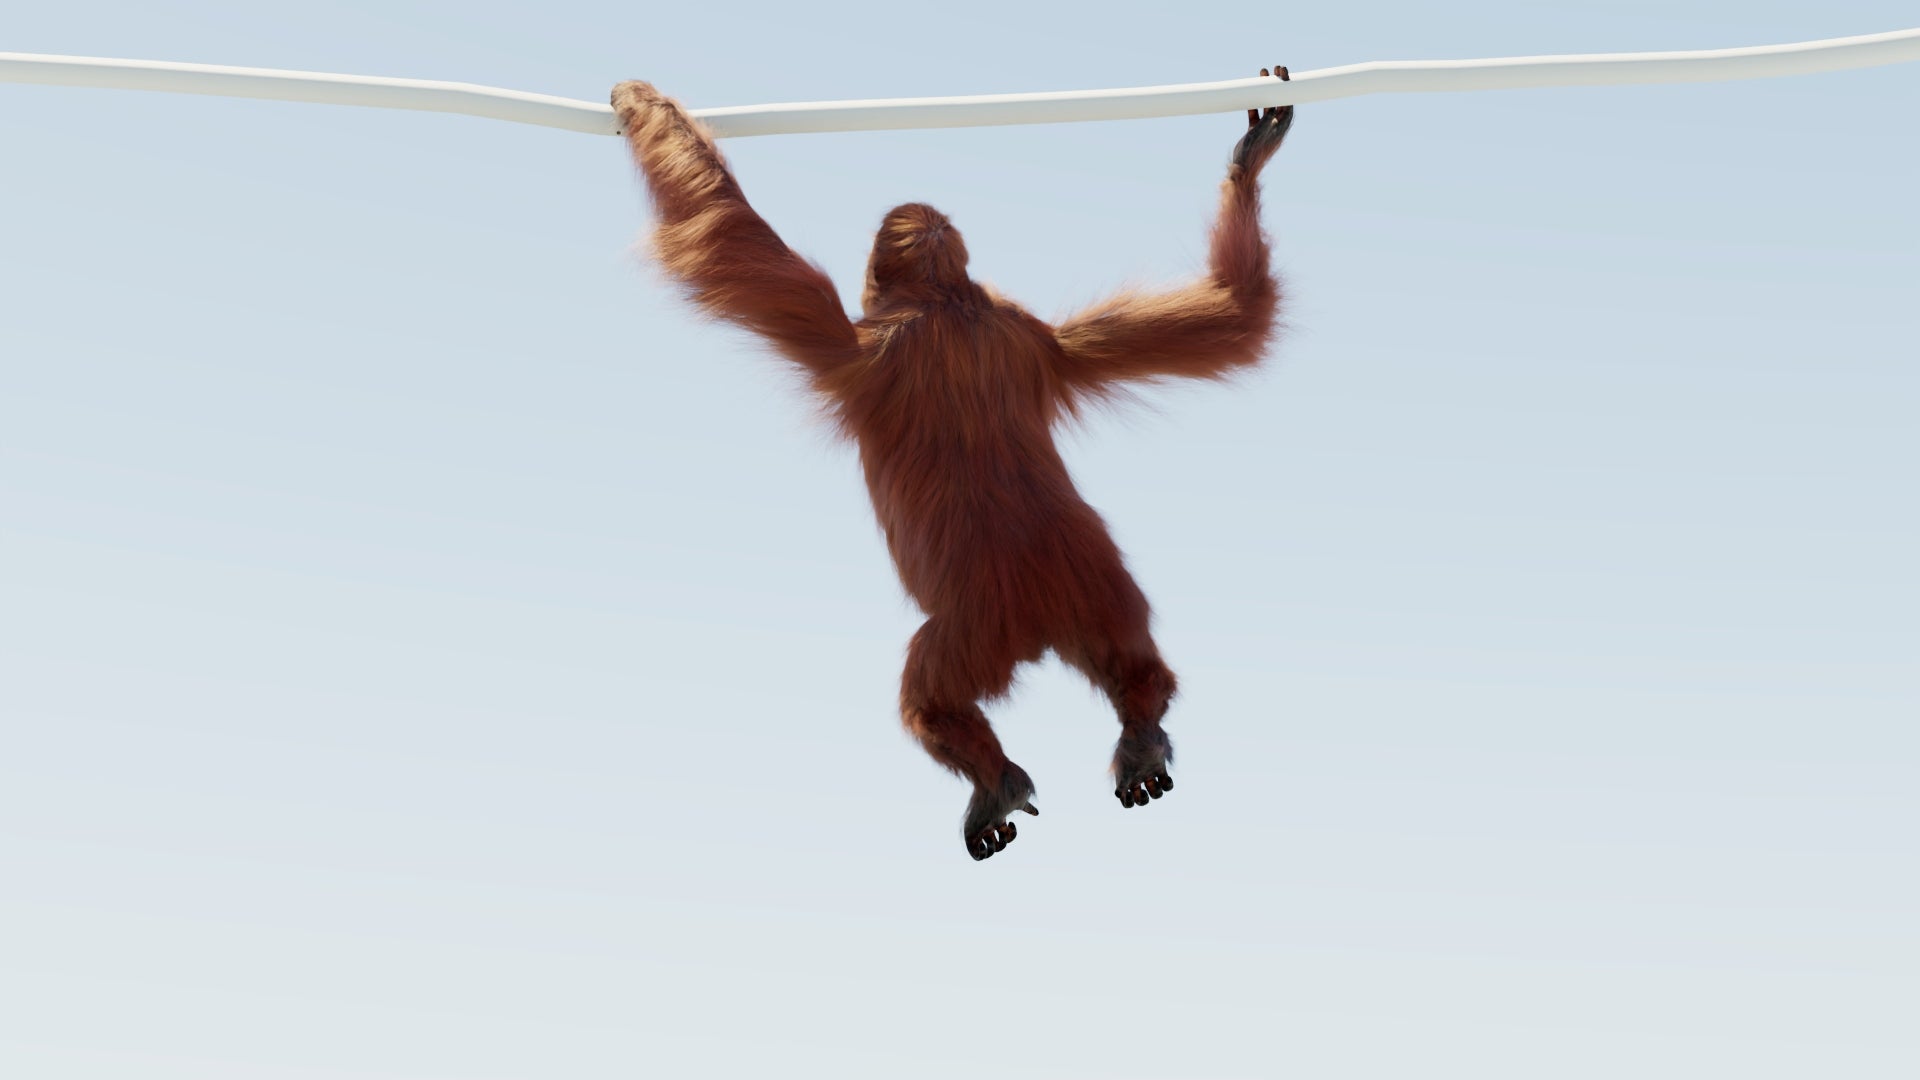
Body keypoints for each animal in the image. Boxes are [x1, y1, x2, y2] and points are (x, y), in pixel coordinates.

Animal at [612, 67, 1292, 861]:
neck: (947, 305)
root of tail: (1036, 618)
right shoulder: (1037, 336)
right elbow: (1229, 317)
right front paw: (1249, 157)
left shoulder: (858, 345)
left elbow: (731, 242)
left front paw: (635, 98)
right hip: (1103, 589)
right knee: (1130, 660)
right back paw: (1143, 726)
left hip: (973, 630)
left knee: (931, 699)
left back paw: (996, 782)